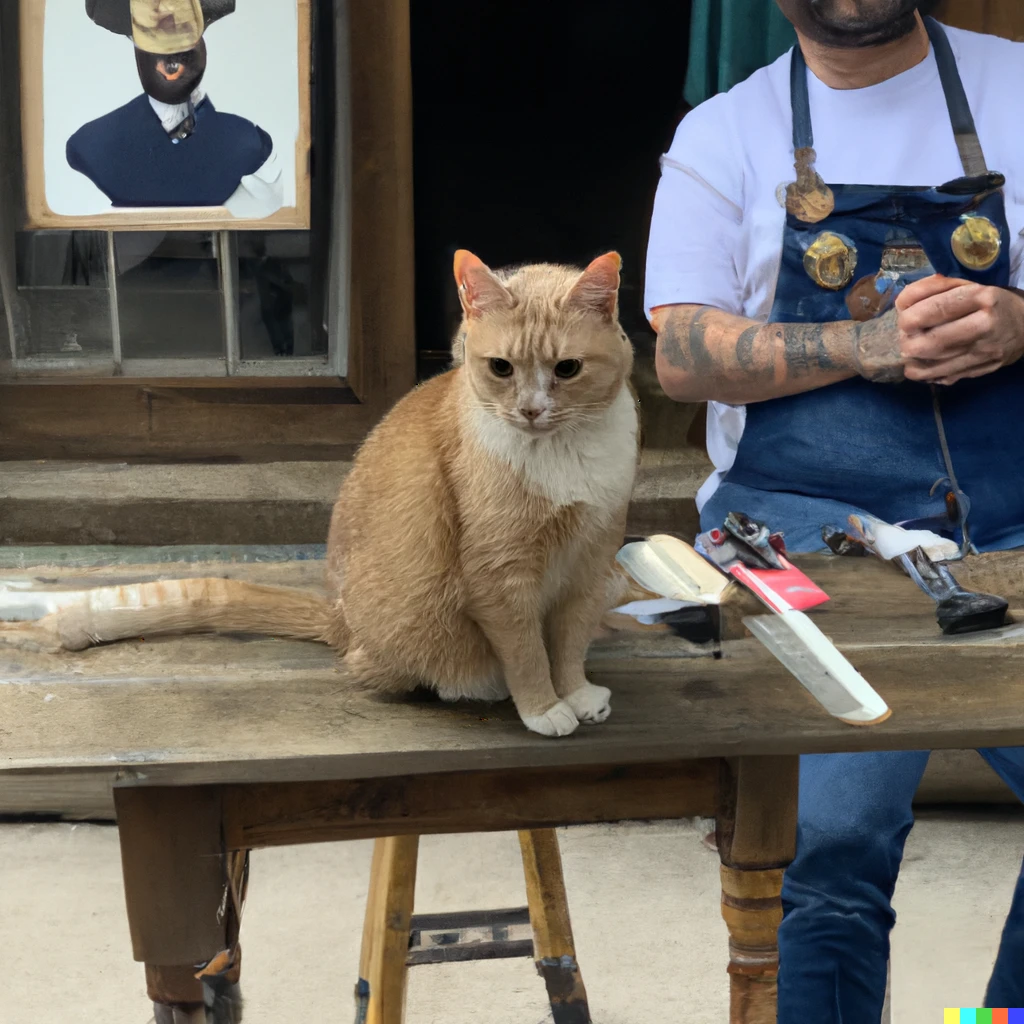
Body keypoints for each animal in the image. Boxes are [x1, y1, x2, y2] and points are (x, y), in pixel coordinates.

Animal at [2, 251, 638, 741]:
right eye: (501, 368)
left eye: (567, 368)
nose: (530, 410)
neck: (564, 457)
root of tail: (339, 617)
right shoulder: (501, 578)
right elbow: (528, 651)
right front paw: (544, 706)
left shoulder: (590, 562)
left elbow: (568, 642)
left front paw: (575, 692)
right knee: (391, 668)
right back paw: (476, 686)